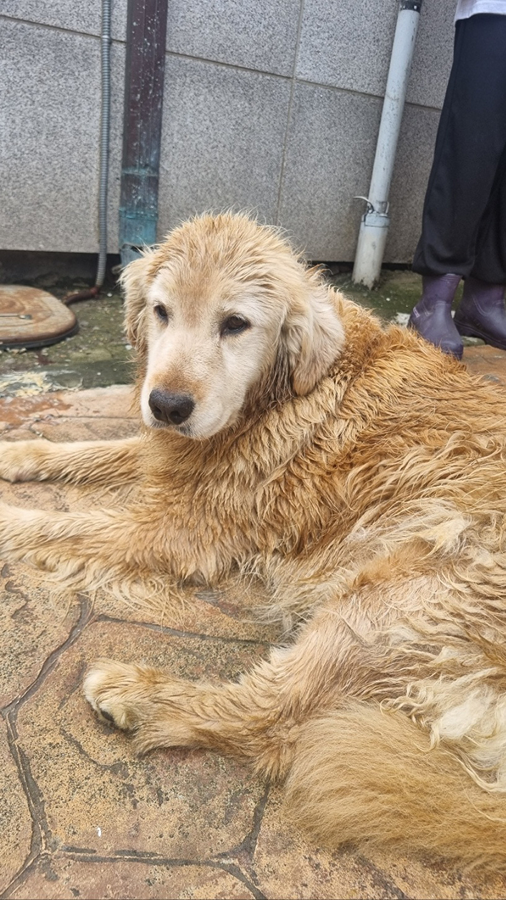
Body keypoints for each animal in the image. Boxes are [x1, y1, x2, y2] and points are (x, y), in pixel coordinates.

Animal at [1, 214, 506, 868]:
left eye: (235, 324)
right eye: (161, 311)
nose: (166, 404)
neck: (280, 393)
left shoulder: (177, 528)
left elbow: (51, 524)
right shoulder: (174, 458)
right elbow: (90, 451)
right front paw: (18, 454)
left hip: (393, 591)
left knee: (271, 719)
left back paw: (138, 693)